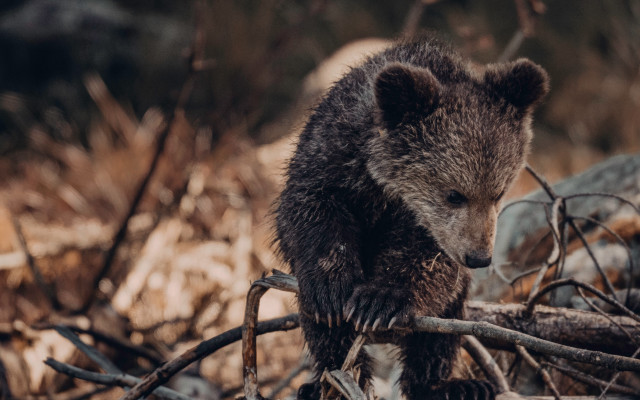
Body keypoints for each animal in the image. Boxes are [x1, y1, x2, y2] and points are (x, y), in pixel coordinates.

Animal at [274, 36, 549, 399]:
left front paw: (379, 302)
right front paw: (330, 289)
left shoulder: (431, 232)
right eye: (454, 193)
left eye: (499, 192)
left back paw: (451, 385)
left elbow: (426, 264)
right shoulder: (330, 160)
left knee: (440, 329)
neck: (387, 186)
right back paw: (329, 380)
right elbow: (308, 213)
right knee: (324, 333)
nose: (478, 257)